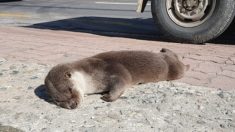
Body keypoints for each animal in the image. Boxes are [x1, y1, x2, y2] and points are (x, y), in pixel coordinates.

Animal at [45, 48, 190, 109]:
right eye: (58, 101)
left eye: (70, 89)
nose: (73, 105)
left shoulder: (112, 70)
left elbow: (122, 82)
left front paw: (108, 97)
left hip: (175, 70)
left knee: (180, 66)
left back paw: (186, 63)